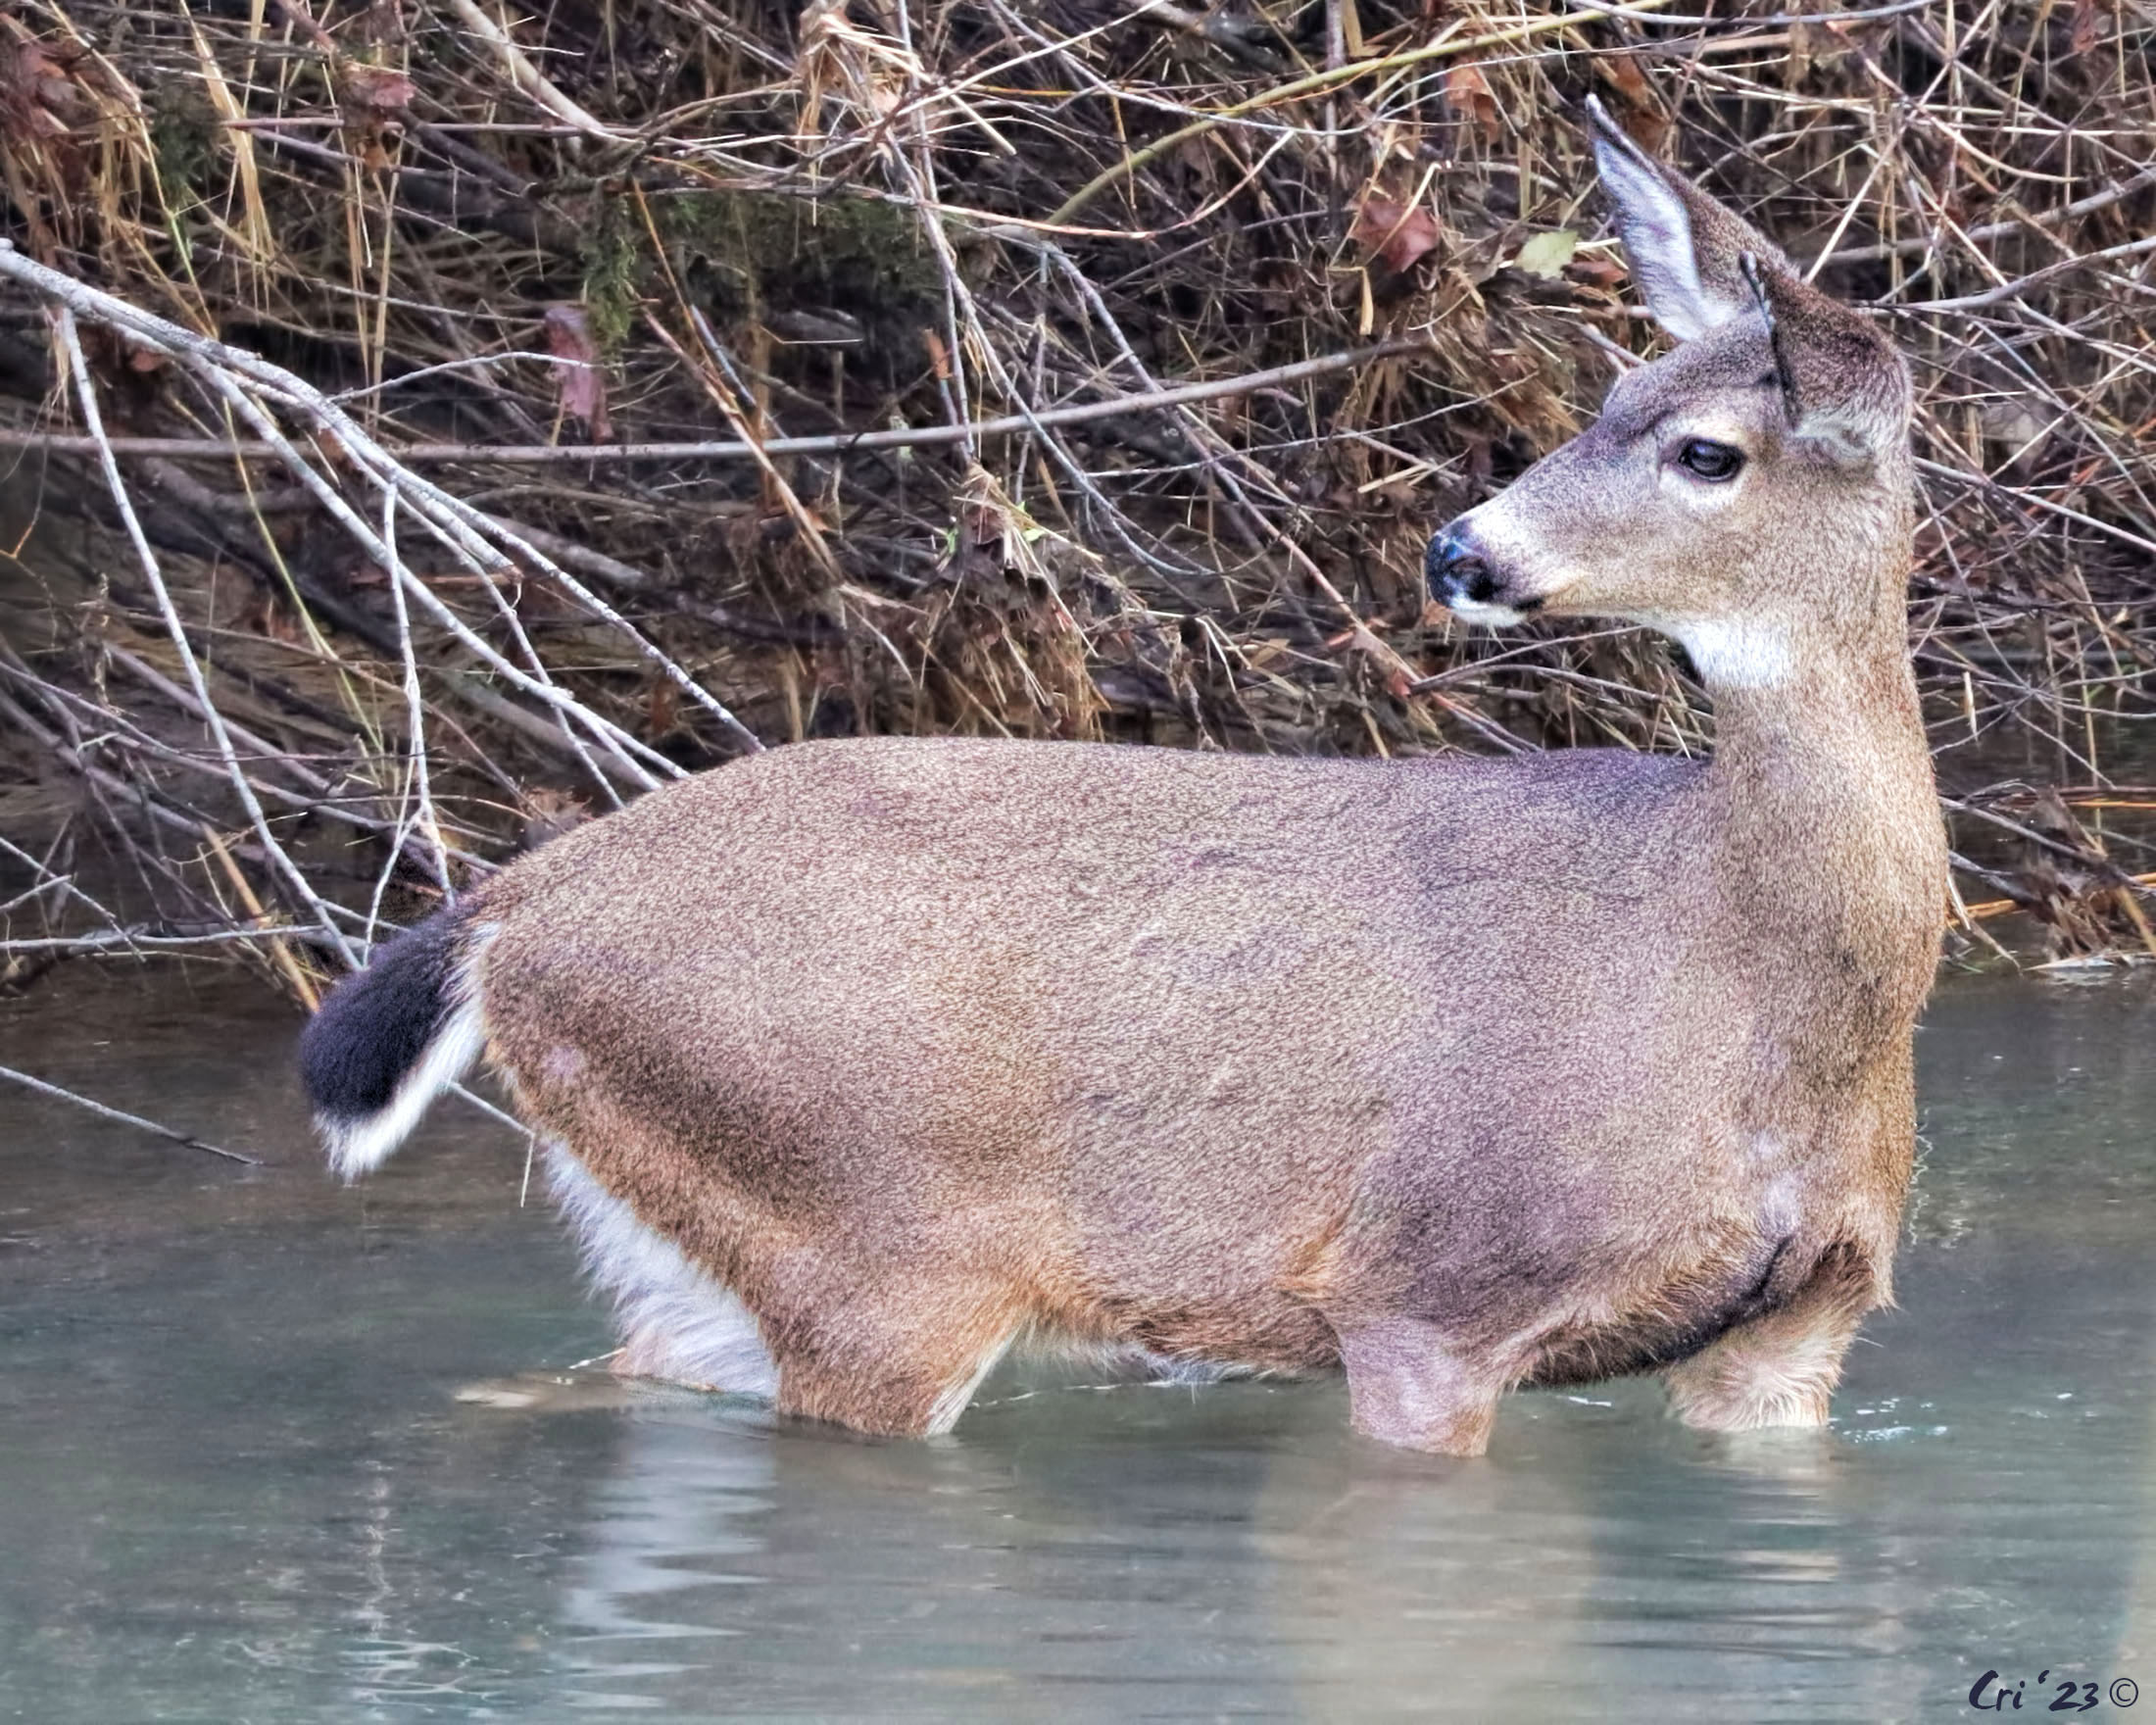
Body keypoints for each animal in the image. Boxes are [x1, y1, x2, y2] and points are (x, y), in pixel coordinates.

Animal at [298, 98, 1946, 1456]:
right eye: (1610, 398)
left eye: (1704, 448)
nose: (1461, 552)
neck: (1746, 976)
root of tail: (512, 910)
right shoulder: (1429, 1281)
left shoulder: (1804, 1329)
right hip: (872, 1237)